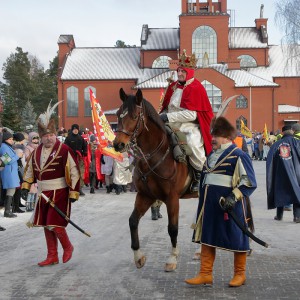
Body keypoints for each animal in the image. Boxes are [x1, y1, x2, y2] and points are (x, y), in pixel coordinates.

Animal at [112, 87, 197, 272]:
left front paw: (172, 258)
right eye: (118, 114)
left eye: (134, 116)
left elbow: (173, 228)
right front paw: (138, 256)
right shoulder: (145, 195)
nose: (118, 144)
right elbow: (133, 221)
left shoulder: (172, 198)